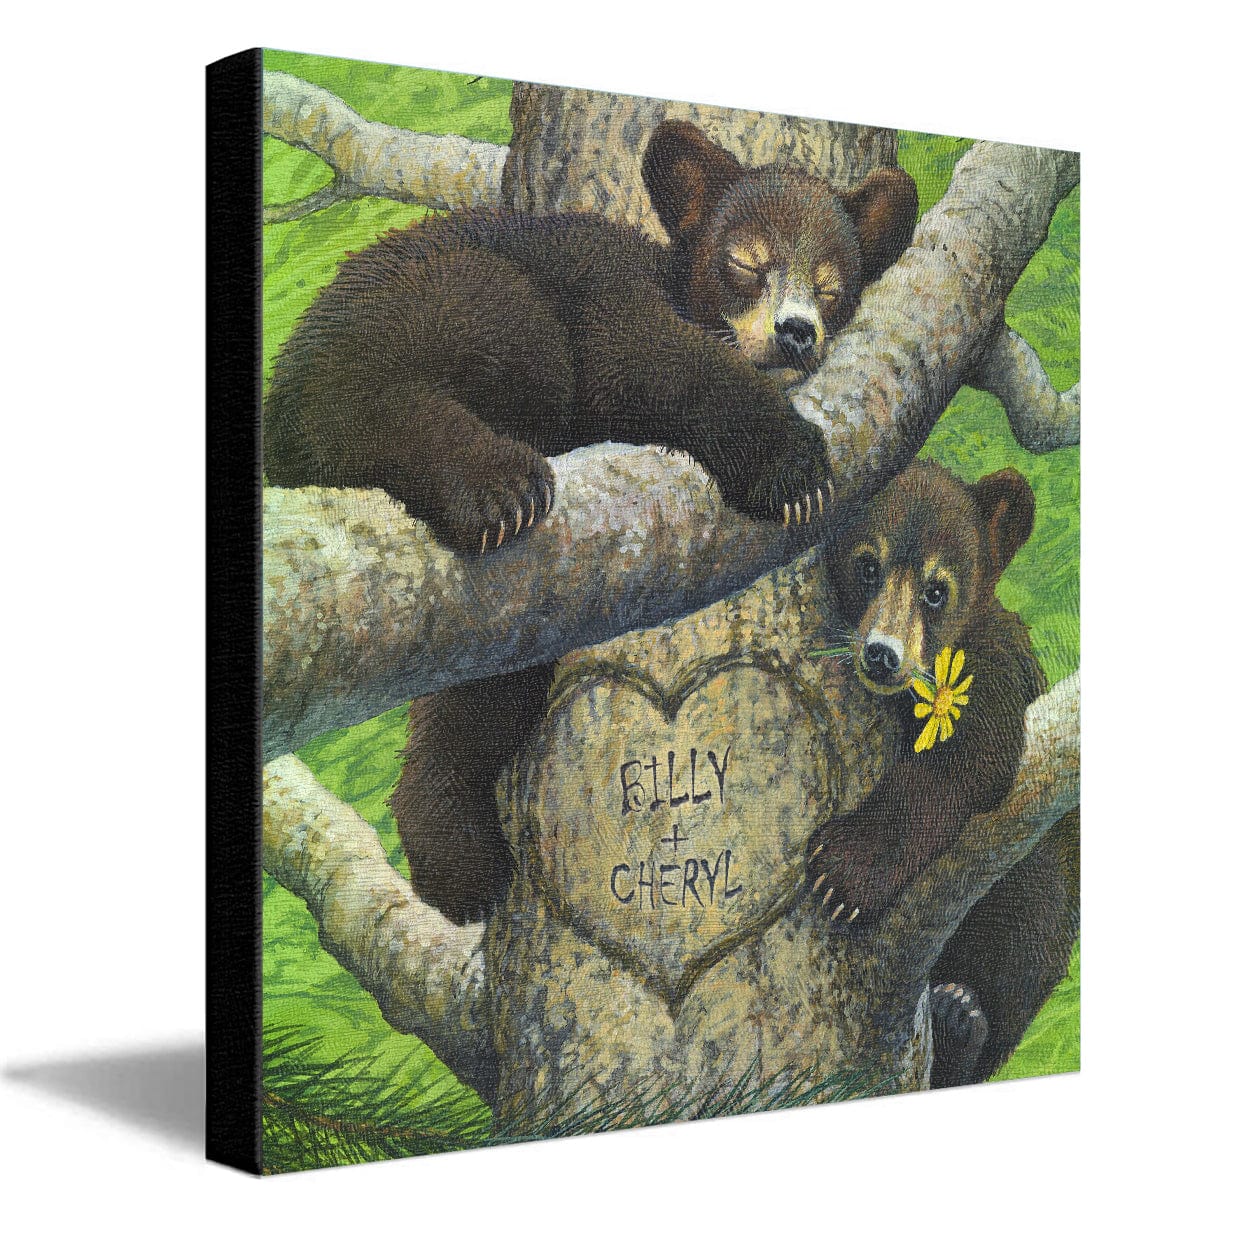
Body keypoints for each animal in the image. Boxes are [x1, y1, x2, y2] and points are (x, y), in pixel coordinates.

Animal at [264, 120, 919, 924]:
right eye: (745, 259)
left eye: (833, 282)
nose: (797, 331)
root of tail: (283, 404)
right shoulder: (607, 286)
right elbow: (650, 358)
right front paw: (790, 465)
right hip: (444, 300)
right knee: (421, 383)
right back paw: (498, 486)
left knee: (486, 688)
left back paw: (457, 855)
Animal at [807, 459, 1079, 1086]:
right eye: (868, 564)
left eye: (937, 590)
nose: (882, 655)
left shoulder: (993, 668)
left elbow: (963, 768)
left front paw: (842, 872)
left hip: (1041, 905)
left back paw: (960, 1020)